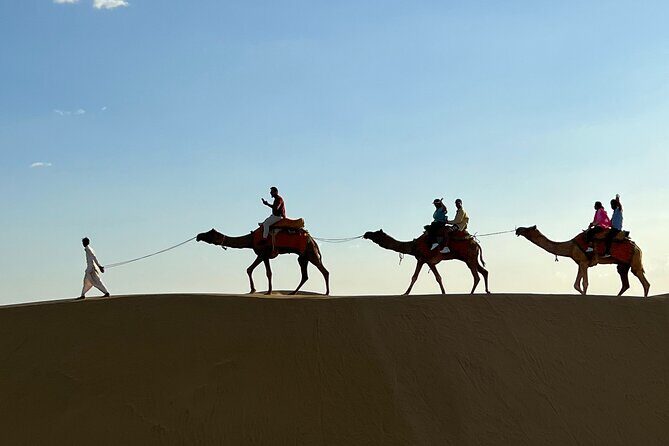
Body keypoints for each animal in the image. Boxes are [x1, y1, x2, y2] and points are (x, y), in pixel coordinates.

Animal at [196, 227, 330, 295]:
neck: (251, 239)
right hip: (303, 257)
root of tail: (313, 240)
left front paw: (266, 291)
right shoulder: (264, 255)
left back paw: (327, 292)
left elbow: (264, 272)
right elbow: (253, 270)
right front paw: (255, 290)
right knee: (305, 275)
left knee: (324, 271)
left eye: (210, 233)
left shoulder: (263, 253)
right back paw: (293, 292)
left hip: (310, 253)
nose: (198, 236)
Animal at [515, 225, 650, 297]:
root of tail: (637, 247)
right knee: (625, 282)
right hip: (623, 264)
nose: (518, 229)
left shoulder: (584, 262)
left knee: (643, 281)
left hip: (634, 260)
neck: (570, 246)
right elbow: (576, 284)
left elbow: (584, 283)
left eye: (528, 229)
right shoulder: (581, 262)